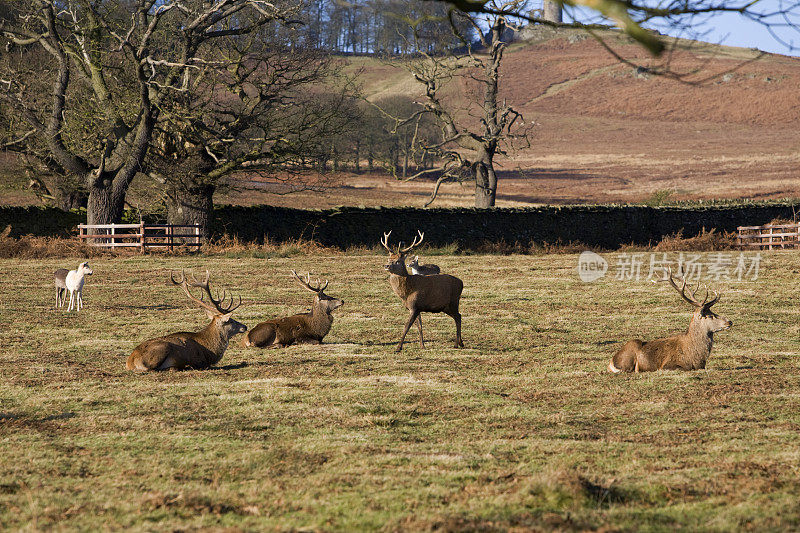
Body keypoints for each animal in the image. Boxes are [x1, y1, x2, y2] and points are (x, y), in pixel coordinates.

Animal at [608, 268, 736, 372]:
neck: (696, 356)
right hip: (631, 353)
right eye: (709, 315)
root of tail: (611, 361)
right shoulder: (668, 365)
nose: (729, 321)